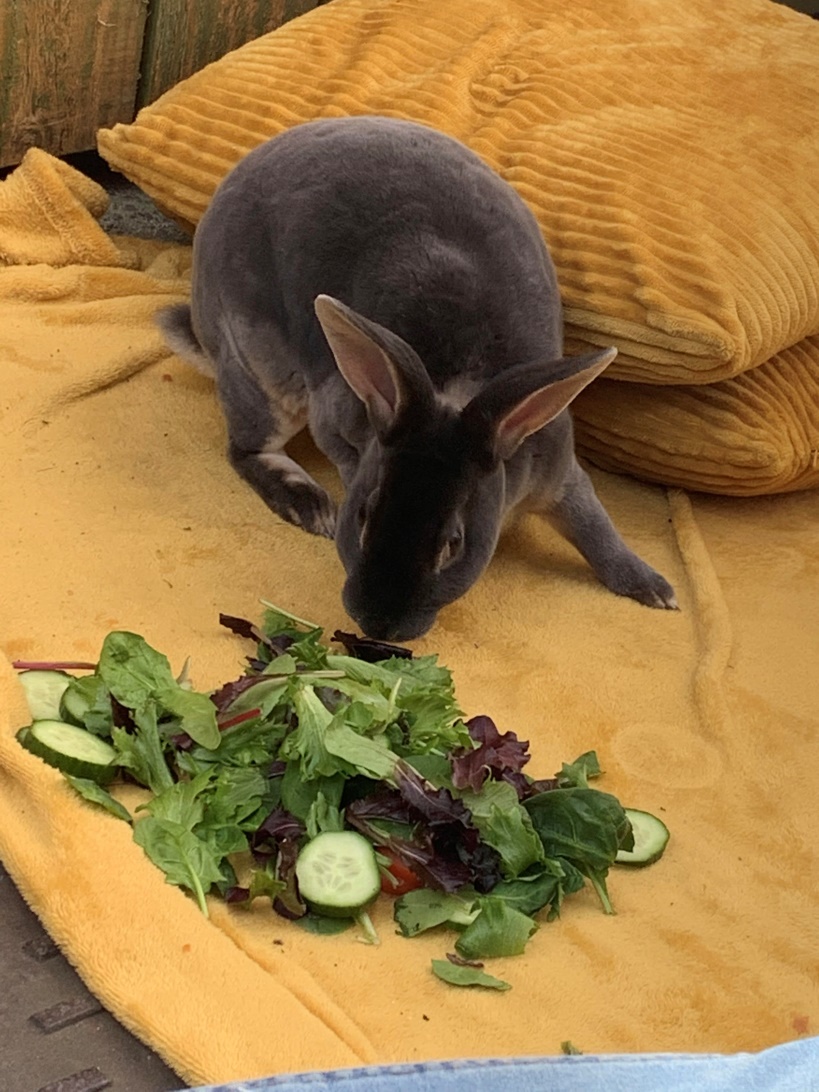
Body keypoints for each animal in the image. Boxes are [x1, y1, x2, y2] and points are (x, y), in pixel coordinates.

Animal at [157, 116, 676, 641]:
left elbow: (594, 524)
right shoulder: (335, 416)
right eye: (364, 515)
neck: (457, 385)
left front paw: (654, 589)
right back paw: (308, 504)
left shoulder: (555, 469)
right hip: (259, 370)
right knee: (247, 447)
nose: (378, 624)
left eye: (453, 543)